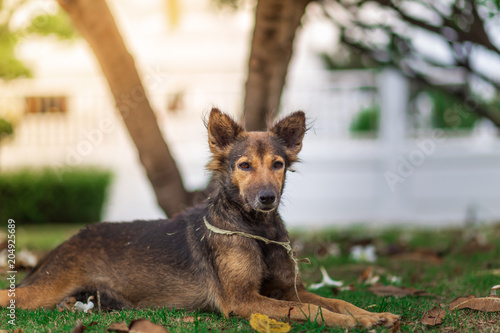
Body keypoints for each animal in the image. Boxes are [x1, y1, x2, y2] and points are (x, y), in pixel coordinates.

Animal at [0, 108, 398, 326]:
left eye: (278, 164)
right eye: (244, 165)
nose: (267, 198)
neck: (255, 228)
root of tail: (67, 241)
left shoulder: (287, 289)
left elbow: (333, 301)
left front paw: (369, 314)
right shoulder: (242, 300)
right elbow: (312, 311)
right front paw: (351, 322)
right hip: (44, 290)